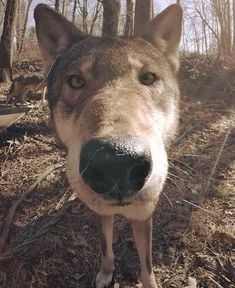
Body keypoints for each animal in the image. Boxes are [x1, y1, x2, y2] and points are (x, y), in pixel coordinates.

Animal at [34, 4, 183, 288]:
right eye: (76, 81)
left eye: (148, 78)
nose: (117, 160)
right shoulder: (100, 211)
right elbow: (106, 249)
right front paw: (105, 275)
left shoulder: (144, 215)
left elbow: (146, 265)